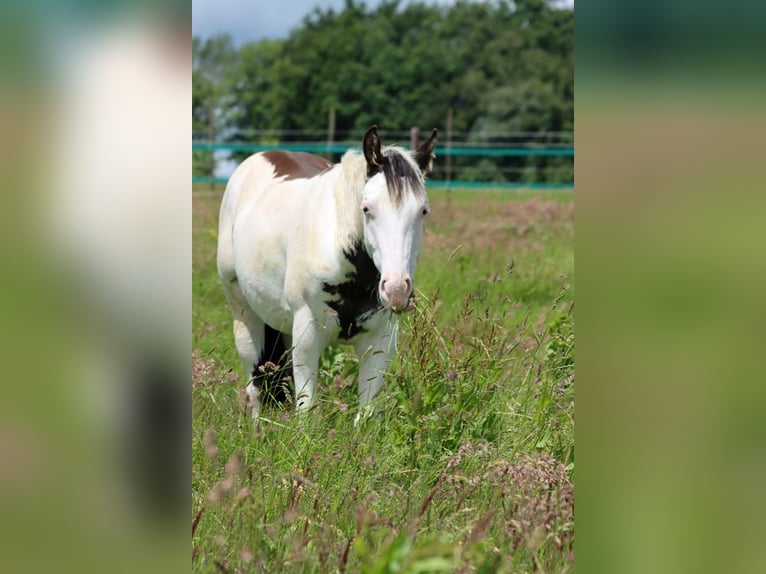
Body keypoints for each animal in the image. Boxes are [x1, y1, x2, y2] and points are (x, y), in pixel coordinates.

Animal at [217, 125, 437, 423]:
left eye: (423, 211)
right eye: (366, 208)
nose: (395, 290)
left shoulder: (380, 340)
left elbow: (366, 414)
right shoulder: (307, 336)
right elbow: (306, 412)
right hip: (244, 316)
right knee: (254, 387)